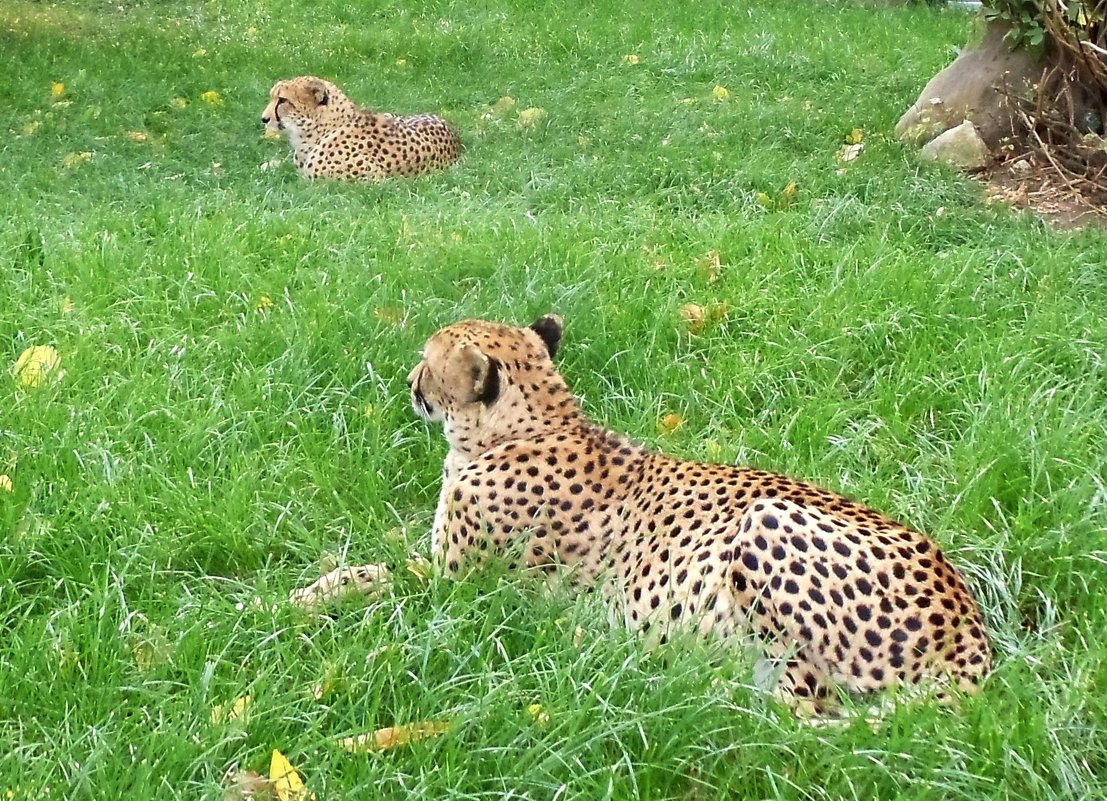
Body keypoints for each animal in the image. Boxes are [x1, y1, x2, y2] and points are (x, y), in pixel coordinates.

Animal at [294, 314, 996, 708]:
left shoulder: (457, 585)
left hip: (767, 524)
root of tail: (971, 630)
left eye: (427, 360)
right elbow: (380, 546)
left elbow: (376, 574)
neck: (531, 425)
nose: (410, 381)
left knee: (809, 711)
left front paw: (297, 597)